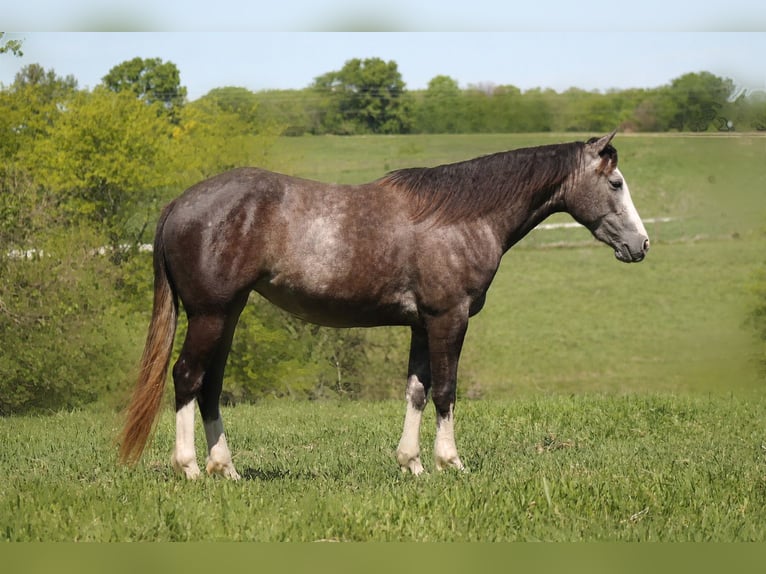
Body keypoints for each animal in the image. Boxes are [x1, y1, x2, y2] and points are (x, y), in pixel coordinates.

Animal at [119, 131, 649, 479]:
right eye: (616, 184)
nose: (641, 245)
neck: (460, 217)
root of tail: (179, 204)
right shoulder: (449, 319)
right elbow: (445, 391)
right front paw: (450, 462)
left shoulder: (421, 325)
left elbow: (416, 390)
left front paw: (411, 463)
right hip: (210, 315)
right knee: (187, 377)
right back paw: (189, 468)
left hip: (227, 316)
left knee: (210, 385)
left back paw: (225, 469)